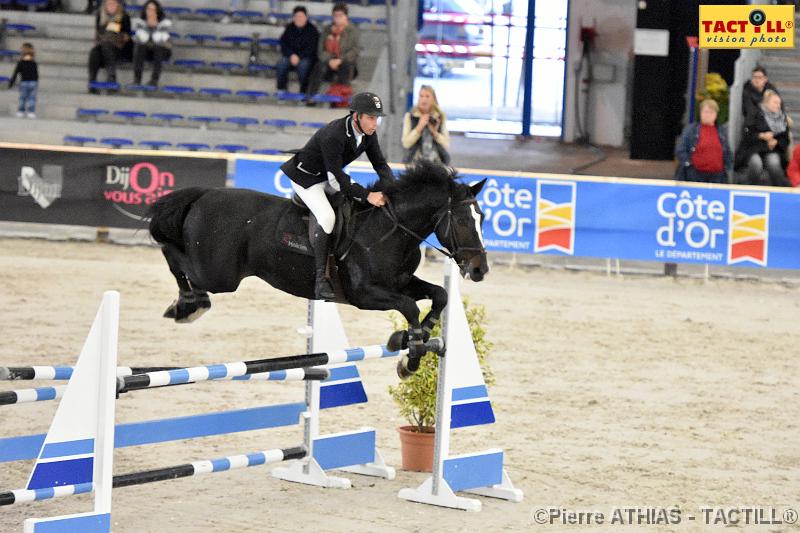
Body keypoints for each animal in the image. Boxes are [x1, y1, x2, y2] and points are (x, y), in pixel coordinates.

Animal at [148, 160, 490, 376]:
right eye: (462, 221)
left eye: (483, 218)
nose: (479, 270)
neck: (390, 228)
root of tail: (205, 193)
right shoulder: (365, 295)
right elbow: (409, 306)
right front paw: (411, 355)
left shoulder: (401, 281)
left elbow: (439, 295)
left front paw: (410, 342)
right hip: (218, 274)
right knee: (173, 255)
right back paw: (188, 305)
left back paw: (188, 303)